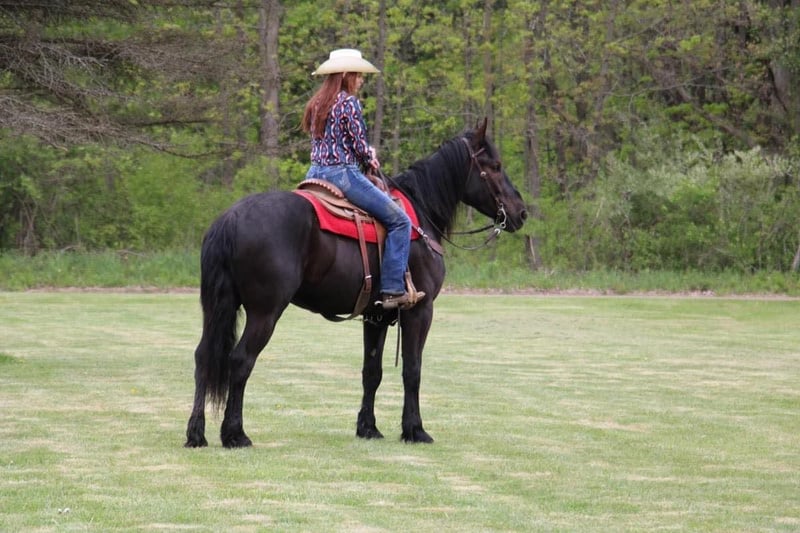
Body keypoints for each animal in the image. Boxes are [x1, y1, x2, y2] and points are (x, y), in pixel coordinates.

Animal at [184, 119, 527, 448]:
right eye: (495, 166)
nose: (521, 212)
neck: (421, 215)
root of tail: (231, 218)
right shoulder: (420, 311)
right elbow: (412, 370)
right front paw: (415, 430)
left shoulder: (376, 316)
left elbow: (371, 372)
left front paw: (368, 428)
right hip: (264, 313)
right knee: (240, 361)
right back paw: (234, 434)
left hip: (219, 307)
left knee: (203, 358)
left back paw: (196, 433)